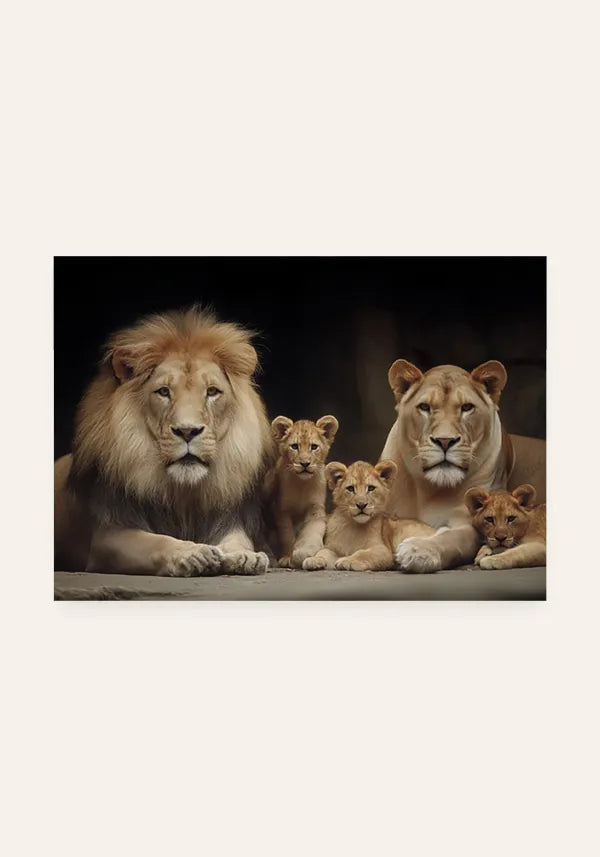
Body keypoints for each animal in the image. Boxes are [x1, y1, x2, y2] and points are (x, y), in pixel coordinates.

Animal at [54, 307, 276, 576]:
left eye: (212, 391)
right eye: (163, 392)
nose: (188, 431)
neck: (182, 494)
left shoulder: (228, 520)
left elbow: (238, 539)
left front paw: (245, 556)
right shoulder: (106, 537)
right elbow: (153, 541)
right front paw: (192, 553)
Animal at [265, 415, 339, 568]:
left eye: (314, 447)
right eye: (294, 446)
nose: (305, 464)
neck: (302, 484)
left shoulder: (315, 508)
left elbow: (312, 530)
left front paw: (305, 553)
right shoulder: (282, 510)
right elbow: (287, 535)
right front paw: (288, 558)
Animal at [302, 460, 436, 572]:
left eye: (371, 488)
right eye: (350, 489)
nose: (361, 505)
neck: (354, 526)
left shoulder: (383, 550)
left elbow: (363, 553)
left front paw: (348, 560)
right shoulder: (333, 548)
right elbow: (323, 552)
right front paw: (313, 560)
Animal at [381, 359, 546, 573]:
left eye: (467, 407)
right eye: (424, 407)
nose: (444, 441)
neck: (428, 489)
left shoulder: (471, 523)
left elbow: (452, 538)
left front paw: (418, 551)